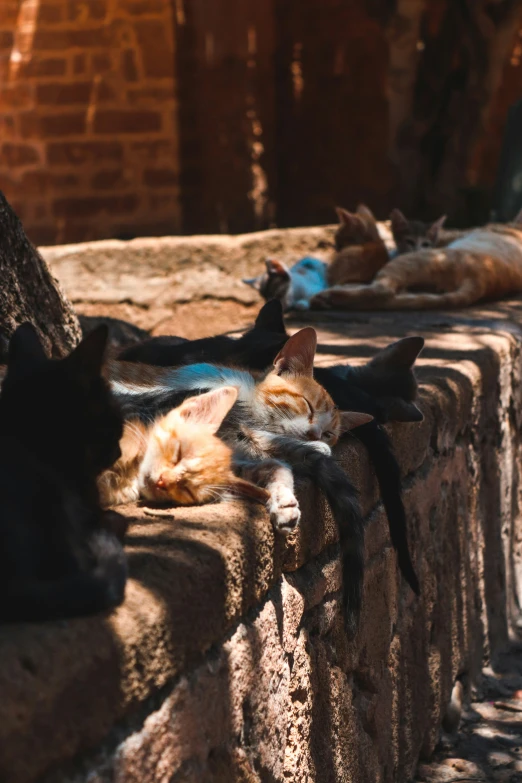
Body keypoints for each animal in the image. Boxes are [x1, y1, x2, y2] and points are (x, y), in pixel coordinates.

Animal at [310, 216, 522, 314]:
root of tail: (481, 283)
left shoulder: (446, 236)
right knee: (391, 299)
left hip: (410, 261)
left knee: (380, 291)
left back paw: (328, 296)